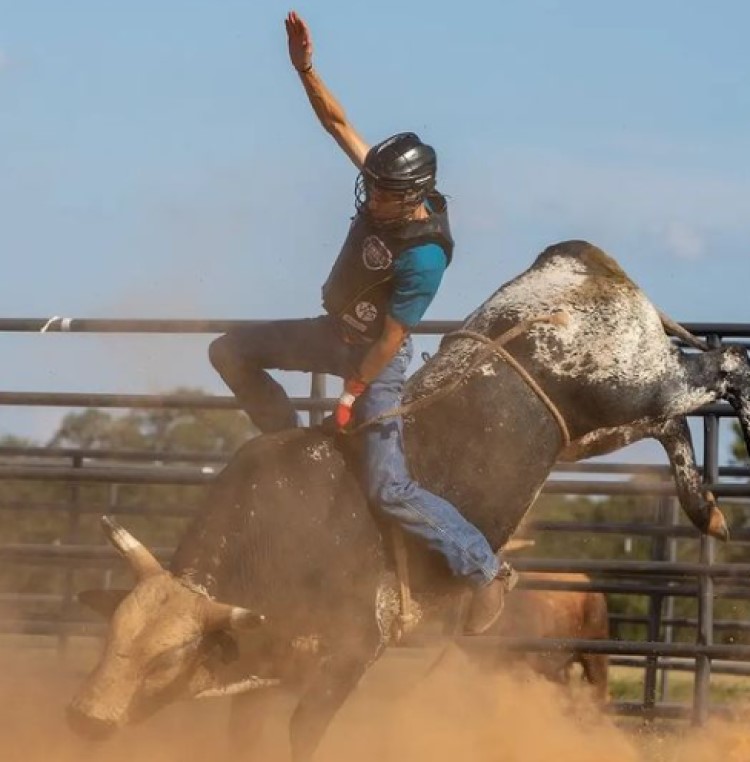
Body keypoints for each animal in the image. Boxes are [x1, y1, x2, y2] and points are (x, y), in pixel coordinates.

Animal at [70, 242, 750, 756]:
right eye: (110, 639)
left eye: (165, 662)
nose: (85, 717)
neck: (280, 541)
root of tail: (575, 255)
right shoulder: (264, 672)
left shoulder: (350, 654)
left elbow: (304, 733)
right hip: (598, 428)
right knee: (672, 423)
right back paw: (707, 509)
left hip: (636, 380)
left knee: (719, 367)